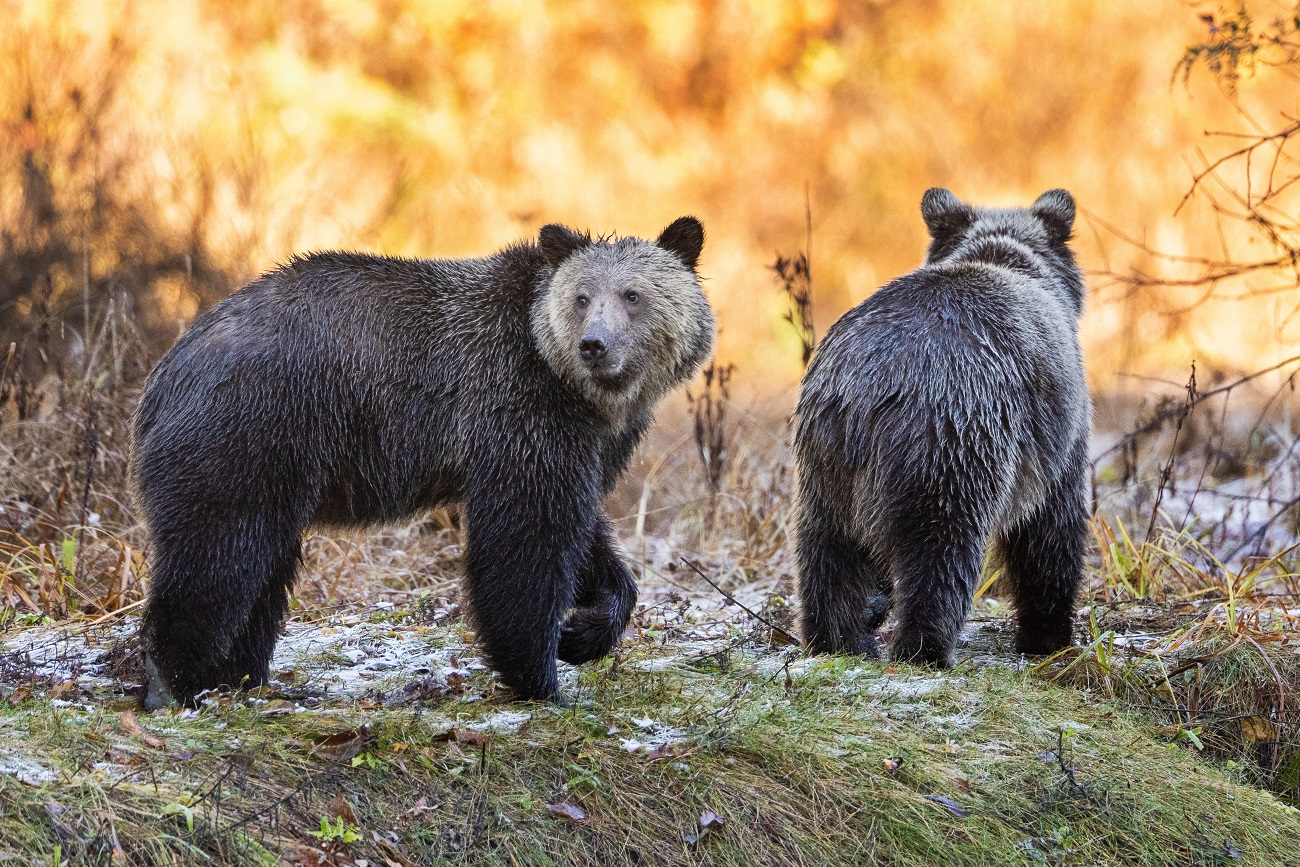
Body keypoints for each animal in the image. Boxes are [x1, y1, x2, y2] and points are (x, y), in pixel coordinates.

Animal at [132, 217, 714, 708]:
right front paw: (540, 678)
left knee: (261, 569)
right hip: (252, 432)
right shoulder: (516, 407)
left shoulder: (581, 445)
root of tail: (164, 372)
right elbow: (526, 544)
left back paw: (239, 676)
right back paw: (177, 681)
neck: (580, 392)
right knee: (218, 556)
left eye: (632, 295)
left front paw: (583, 632)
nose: (594, 345)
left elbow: (586, 534)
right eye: (582, 297)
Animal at [793, 188, 1090, 666]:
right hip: (953, 440)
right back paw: (924, 647)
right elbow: (1050, 531)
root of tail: (869, 383)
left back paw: (837, 639)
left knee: (827, 551)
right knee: (940, 549)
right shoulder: (1059, 434)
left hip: (825, 461)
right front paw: (1047, 635)